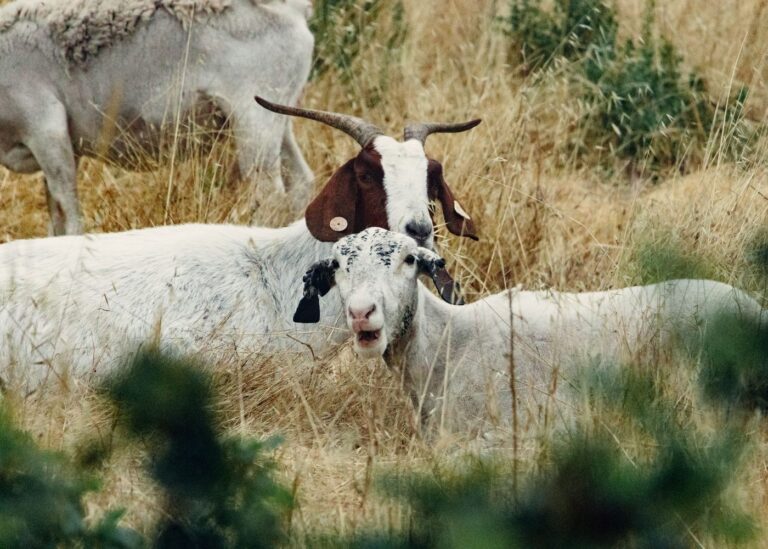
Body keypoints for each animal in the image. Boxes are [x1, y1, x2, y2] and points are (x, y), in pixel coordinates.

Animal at [0, 0, 315, 235]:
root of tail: (294, 10)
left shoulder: (47, 131)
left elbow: (69, 215)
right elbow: (56, 216)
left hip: (254, 120)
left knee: (269, 194)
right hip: (277, 117)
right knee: (301, 183)